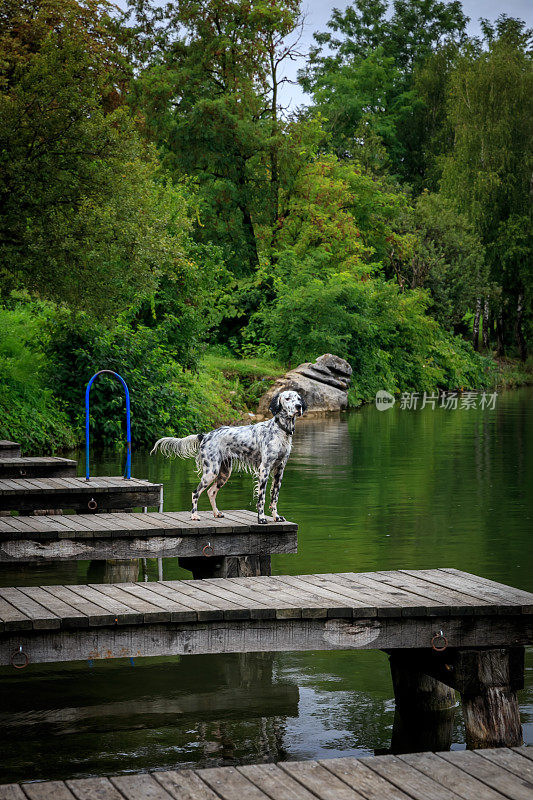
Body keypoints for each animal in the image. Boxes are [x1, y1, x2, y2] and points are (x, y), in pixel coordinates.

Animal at [152, 392, 306, 524]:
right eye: (287, 398)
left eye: (298, 398)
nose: (298, 406)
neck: (280, 431)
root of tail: (206, 435)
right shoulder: (264, 469)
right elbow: (261, 499)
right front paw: (261, 518)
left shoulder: (279, 470)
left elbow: (274, 498)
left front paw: (276, 517)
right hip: (211, 471)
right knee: (195, 492)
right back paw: (194, 515)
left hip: (224, 473)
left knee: (211, 492)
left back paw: (216, 513)